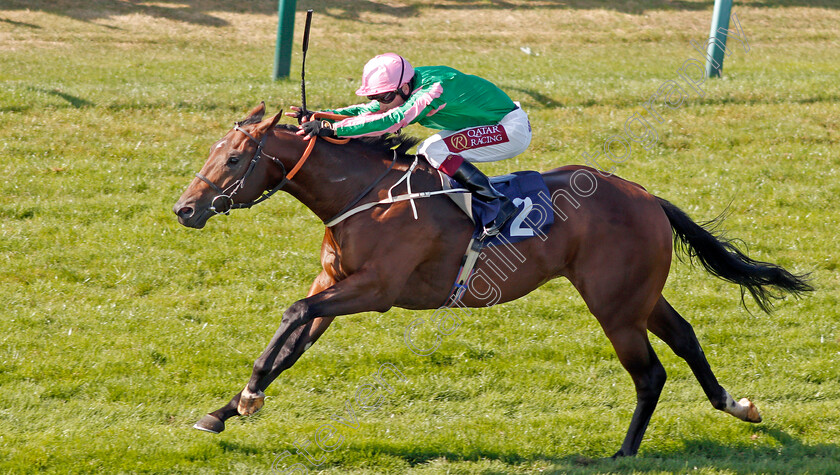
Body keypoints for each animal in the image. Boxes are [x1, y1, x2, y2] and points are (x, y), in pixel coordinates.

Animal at [174, 103, 812, 458]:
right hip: (637, 296)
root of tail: (647, 196)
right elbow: (290, 343)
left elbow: (291, 315)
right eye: (214, 152)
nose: (185, 209)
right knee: (684, 338)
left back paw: (624, 452)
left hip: (614, 306)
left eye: (234, 160)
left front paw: (247, 399)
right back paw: (737, 406)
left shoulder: (375, 291)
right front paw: (227, 409)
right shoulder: (333, 285)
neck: (363, 194)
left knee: (650, 372)